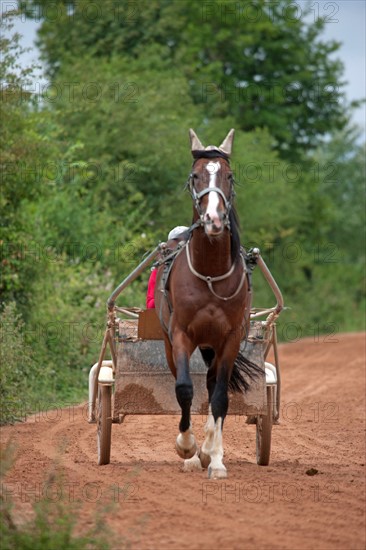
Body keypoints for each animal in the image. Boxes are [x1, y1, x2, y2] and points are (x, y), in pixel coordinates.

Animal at [154, 129, 260, 478]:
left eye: (229, 176)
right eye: (196, 175)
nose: (213, 218)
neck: (211, 274)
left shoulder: (230, 338)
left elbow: (220, 397)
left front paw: (214, 459)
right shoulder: (181, 335)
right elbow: (185, 388)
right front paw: (186, 447)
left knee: (214, 384)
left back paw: (209, 449)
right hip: (173, 343)